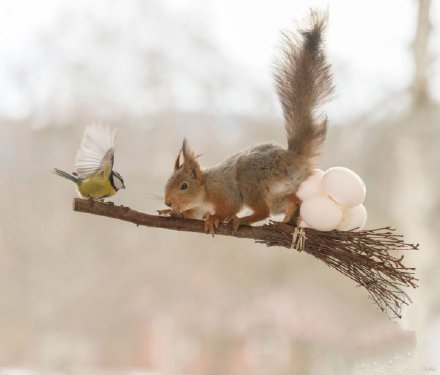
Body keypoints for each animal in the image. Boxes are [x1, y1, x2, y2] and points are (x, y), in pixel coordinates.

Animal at [160, 10, 332, 235]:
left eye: (184, 186)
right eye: (168, 182)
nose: (168, 202)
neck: (206, 188)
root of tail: (295, 158)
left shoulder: (227, 192)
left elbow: (228, 208)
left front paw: (214, 218)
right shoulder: (198, 208)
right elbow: (192, 214)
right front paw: (172, 213)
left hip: (251, 181)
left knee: (263, 212)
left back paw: (243, 220)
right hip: (279, 195)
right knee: (291, 201)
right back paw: (290, 216)